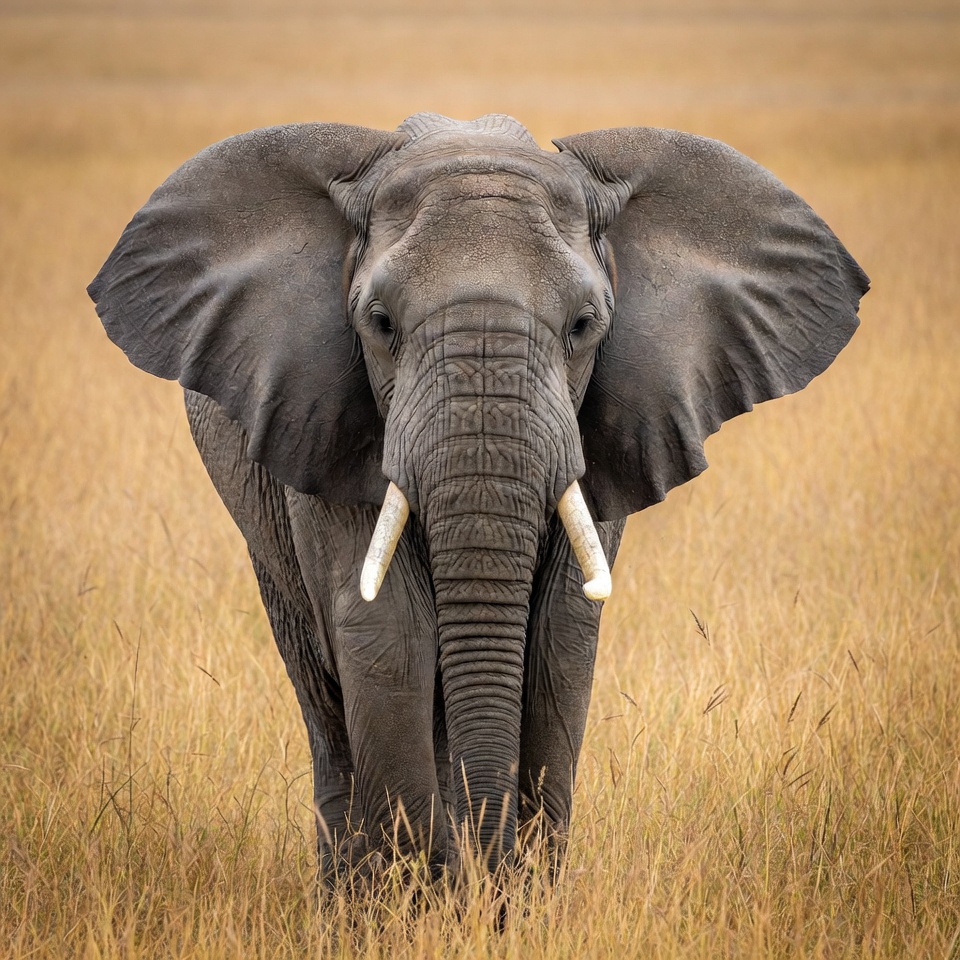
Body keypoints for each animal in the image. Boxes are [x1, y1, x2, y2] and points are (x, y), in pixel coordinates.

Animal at [88, 112, 868, 880]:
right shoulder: (323, 422)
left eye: (585, 325)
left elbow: (559, 639)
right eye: (380, 323)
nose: (483, 868)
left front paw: (513, 896)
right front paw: (428, 894)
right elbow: (387, 636)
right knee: (325, 704)